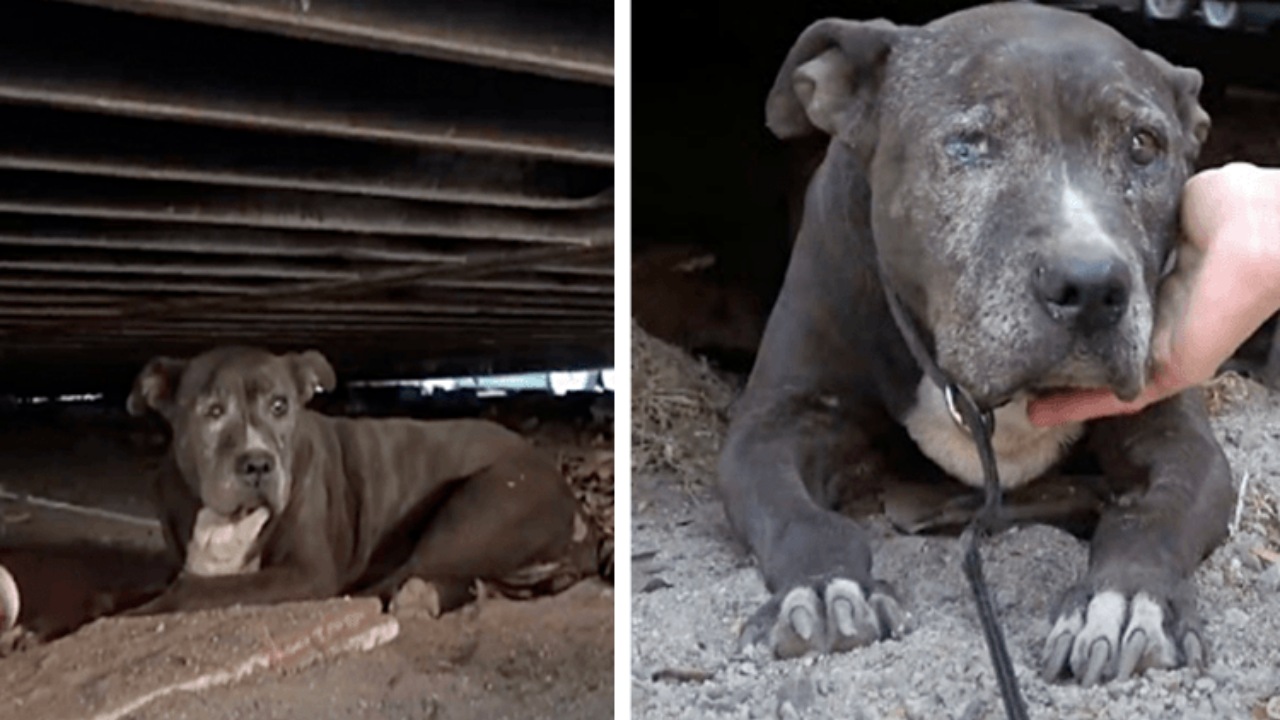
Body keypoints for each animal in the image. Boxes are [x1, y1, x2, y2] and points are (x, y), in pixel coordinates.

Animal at [124, 345, 604, 614]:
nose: (258, 463)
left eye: (281, 405)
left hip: (479, 509)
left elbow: (193, 592)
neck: (227, 521)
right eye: (212, 411)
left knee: (403, 577)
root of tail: (580, 514)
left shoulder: (306, 572)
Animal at [721, 1, 1228, 681]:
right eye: (968, 145)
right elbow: (797, 516)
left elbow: (1154, 515)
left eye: (1143, 145)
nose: (1091, 284)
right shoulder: (776, 422)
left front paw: (1123, 600)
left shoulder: (1174, 435)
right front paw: (826, 586)